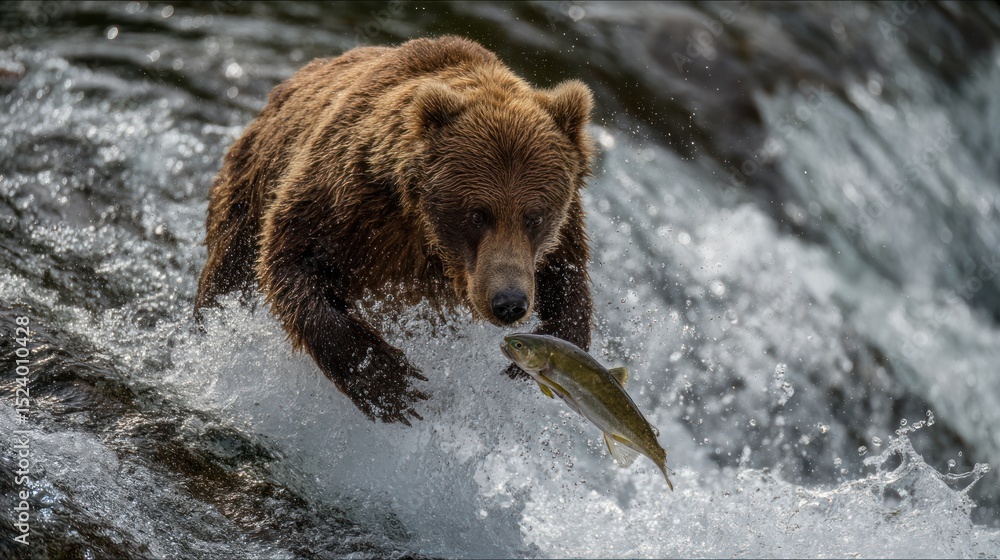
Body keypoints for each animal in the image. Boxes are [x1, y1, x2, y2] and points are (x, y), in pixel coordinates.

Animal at [195, 36, 594, 425]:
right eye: (477, 214)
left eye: (535, 216)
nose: (509, 302)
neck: (423, 233)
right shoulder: (347, 199)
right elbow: (292, 257)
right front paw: (389, 381)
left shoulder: (563, 231)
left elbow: (569, 287)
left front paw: (538, 358)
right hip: (249, 189)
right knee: (229, 276)